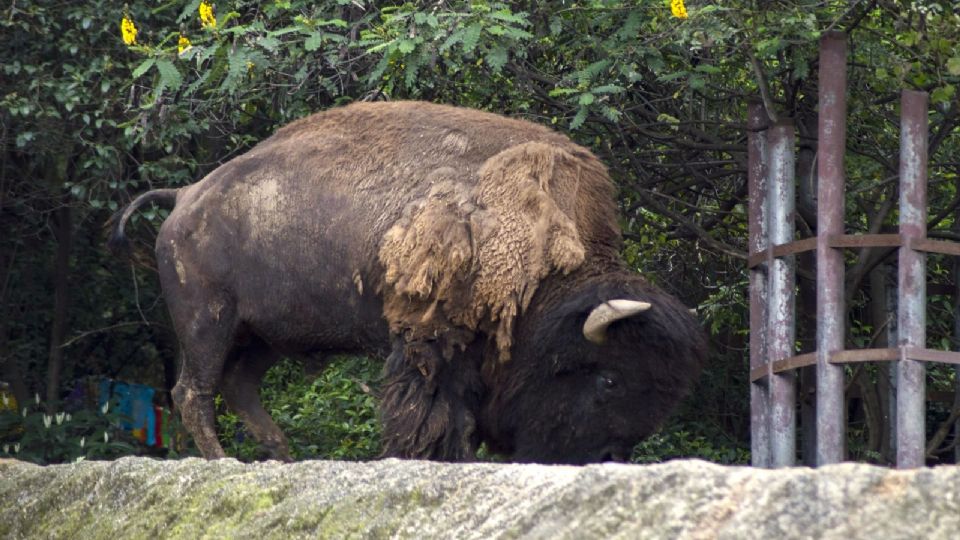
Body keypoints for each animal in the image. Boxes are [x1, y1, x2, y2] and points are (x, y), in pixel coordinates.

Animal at [112, 101, 708, 464]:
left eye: (664, 396)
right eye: (609, 379)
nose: (606, 460)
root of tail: (187, 195)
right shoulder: (431, 342)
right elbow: (433, 414)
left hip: (265, 336)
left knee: (238, 386)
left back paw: (284, 458)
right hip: (208, 323)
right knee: (192, 391)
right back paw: (226, 461)